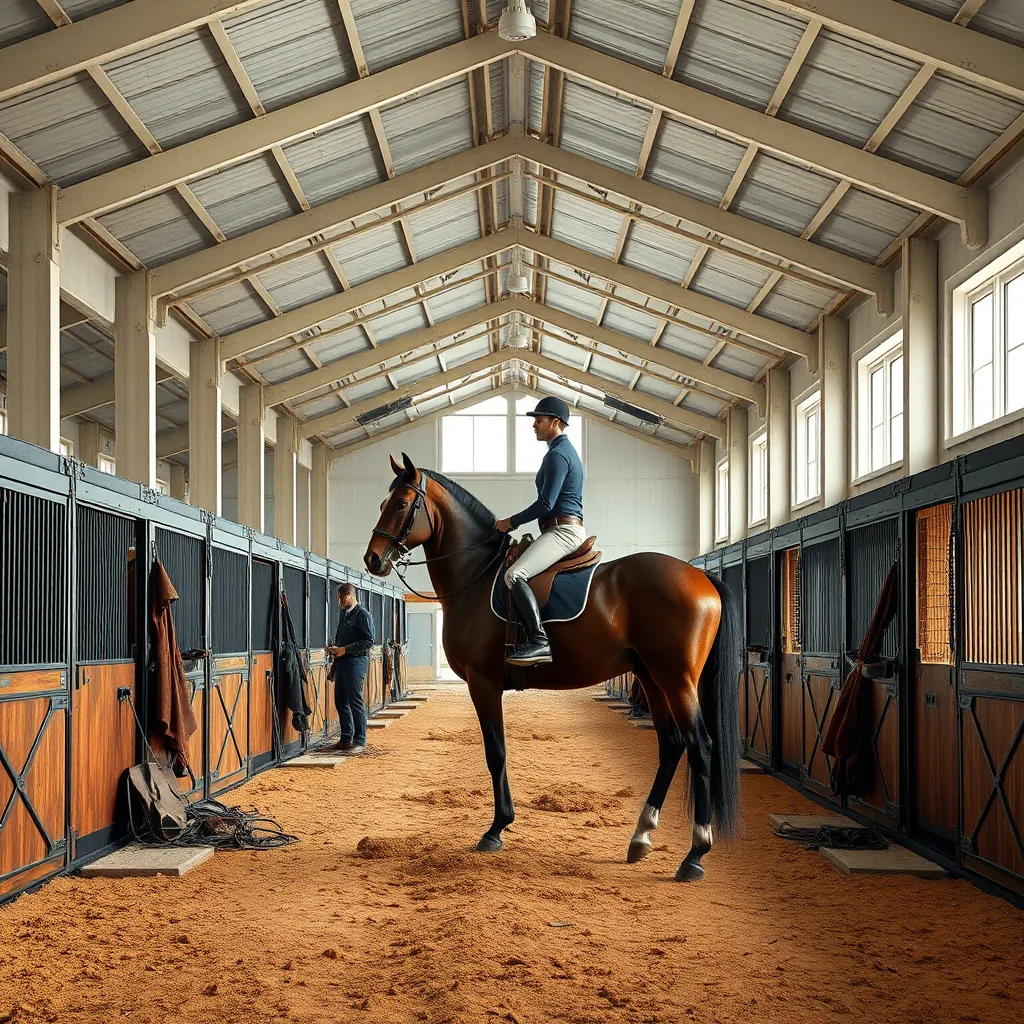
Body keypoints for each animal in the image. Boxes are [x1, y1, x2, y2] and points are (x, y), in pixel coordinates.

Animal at [363, 453, 740, 882]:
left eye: (401, 504)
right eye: (384, 503)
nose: (372, 559)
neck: (475, 576)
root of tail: (700, 576)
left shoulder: (482, 682)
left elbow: (496, 752)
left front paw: (496, 829)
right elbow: (498, 751)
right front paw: (502, 824)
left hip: (676, 680)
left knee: (700, 746)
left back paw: (694, 854)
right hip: (652, 678)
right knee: (672, 745)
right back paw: (641, 836)